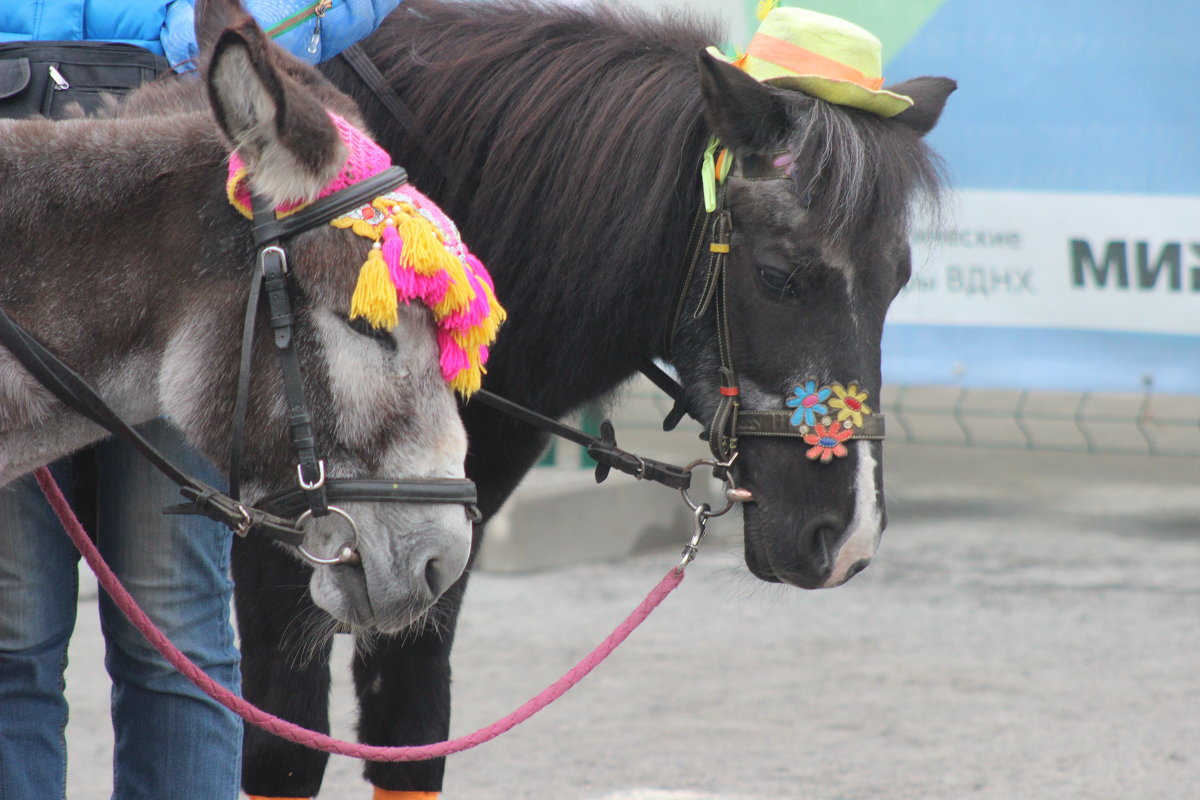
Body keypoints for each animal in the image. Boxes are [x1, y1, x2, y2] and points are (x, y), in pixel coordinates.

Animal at [229, 1, 950, 796]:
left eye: (898, 281)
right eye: (777, 276)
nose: (849, 535)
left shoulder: (427, 573)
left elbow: (410, 732)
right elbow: (284, 751)